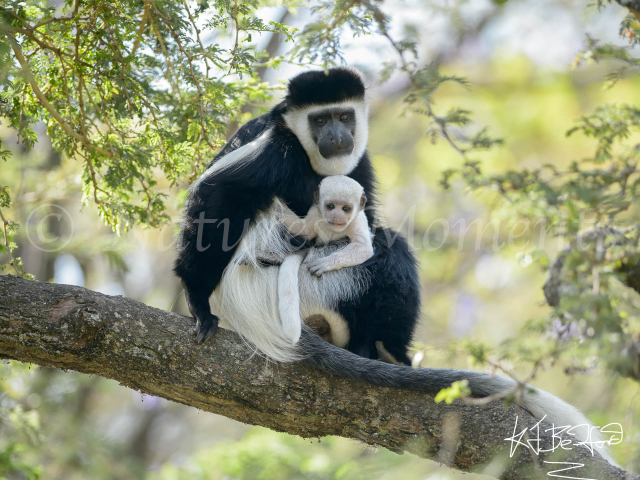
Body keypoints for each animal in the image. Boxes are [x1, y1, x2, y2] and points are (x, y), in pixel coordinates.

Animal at [277, 175, 373, 343]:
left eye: (345, 209)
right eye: (330, 206)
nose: (337, 216)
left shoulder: (357, 221)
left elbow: (363, 247)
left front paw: (325, 263)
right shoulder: (316, 213)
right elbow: (304, 230)